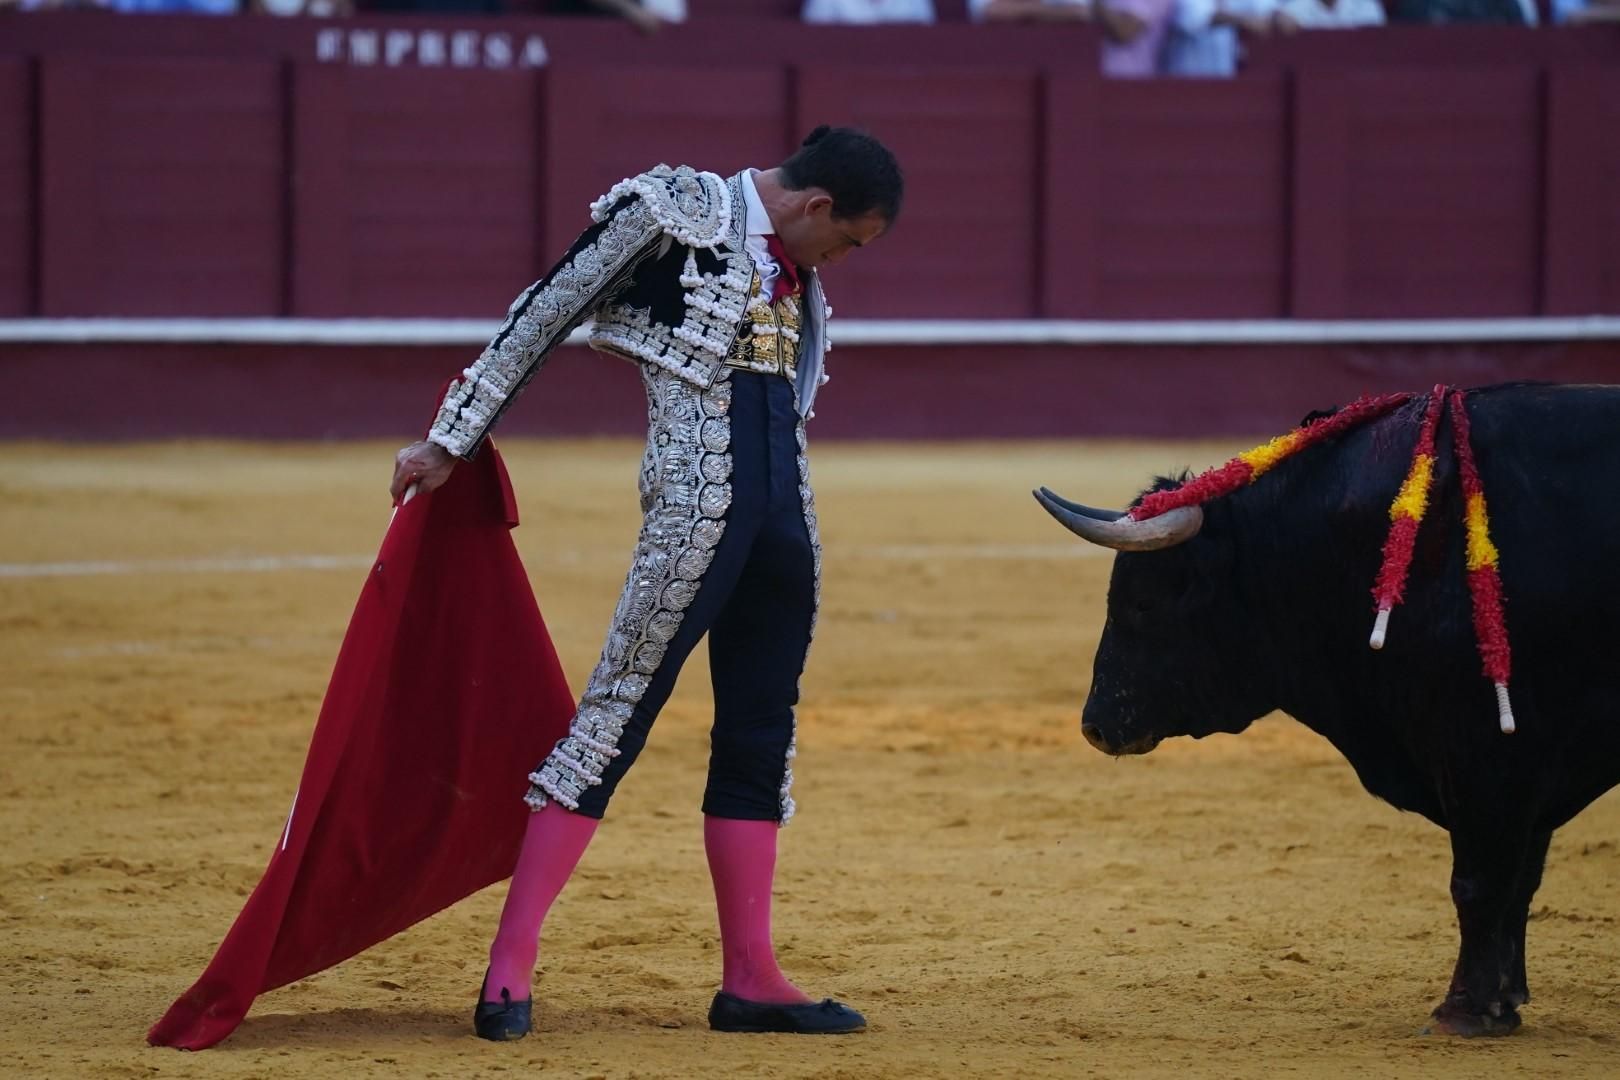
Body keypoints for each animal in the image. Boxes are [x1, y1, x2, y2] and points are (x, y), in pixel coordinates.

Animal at [1036, 383, 1620, 1036]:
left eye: (1142, 602)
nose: (1095, 724)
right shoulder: (1529, 765)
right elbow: (1518, 879)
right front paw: (1504, 1000)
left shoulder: (1489, 747)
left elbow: (1479, 880)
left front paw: (1463, 1011)